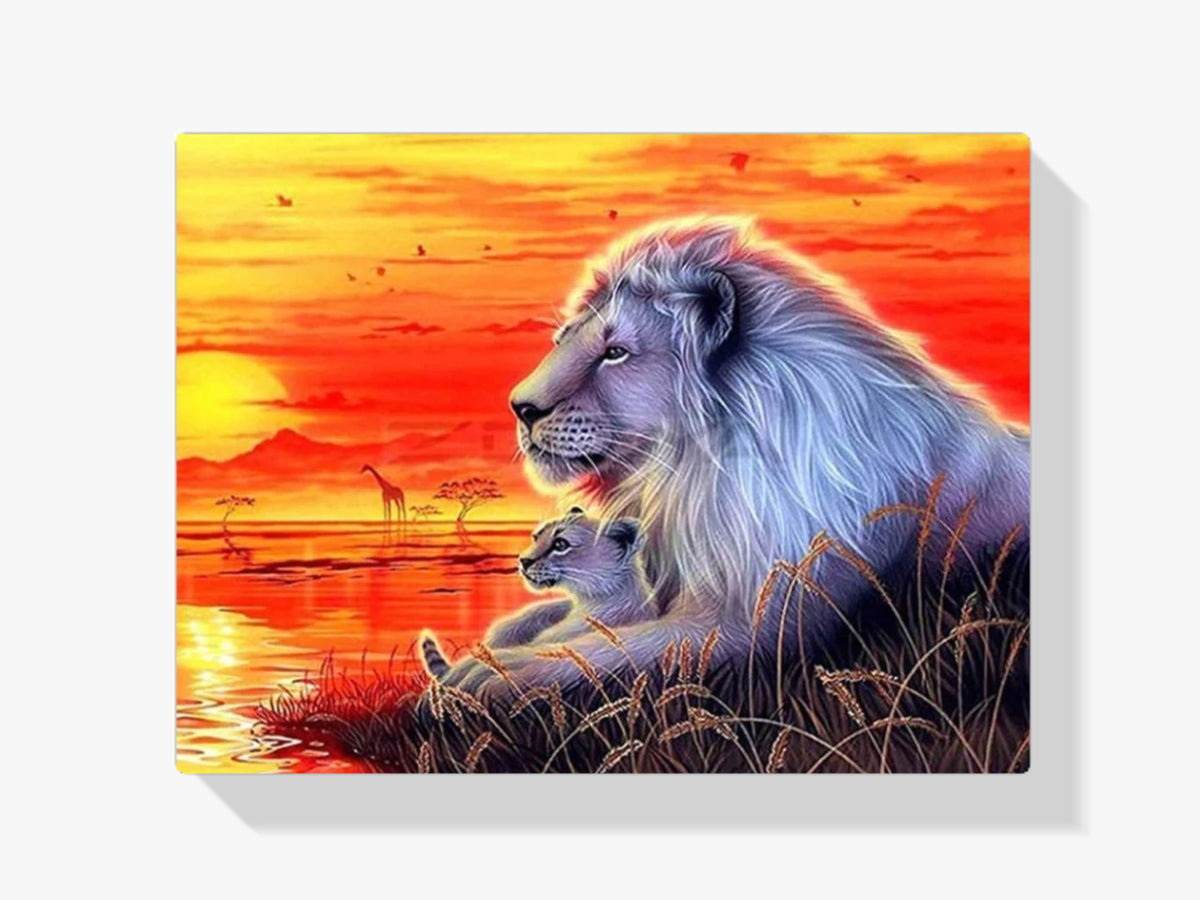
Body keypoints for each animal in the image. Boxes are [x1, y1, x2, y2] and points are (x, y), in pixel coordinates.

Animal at [442, 217, 1029, 698]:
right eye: (563, 340)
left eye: (615, 352)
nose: (520, 406)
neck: (687, 479)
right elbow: (551, 617)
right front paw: (492, 643)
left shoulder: (757, 623)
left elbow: (612, 649)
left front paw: (488, 675)